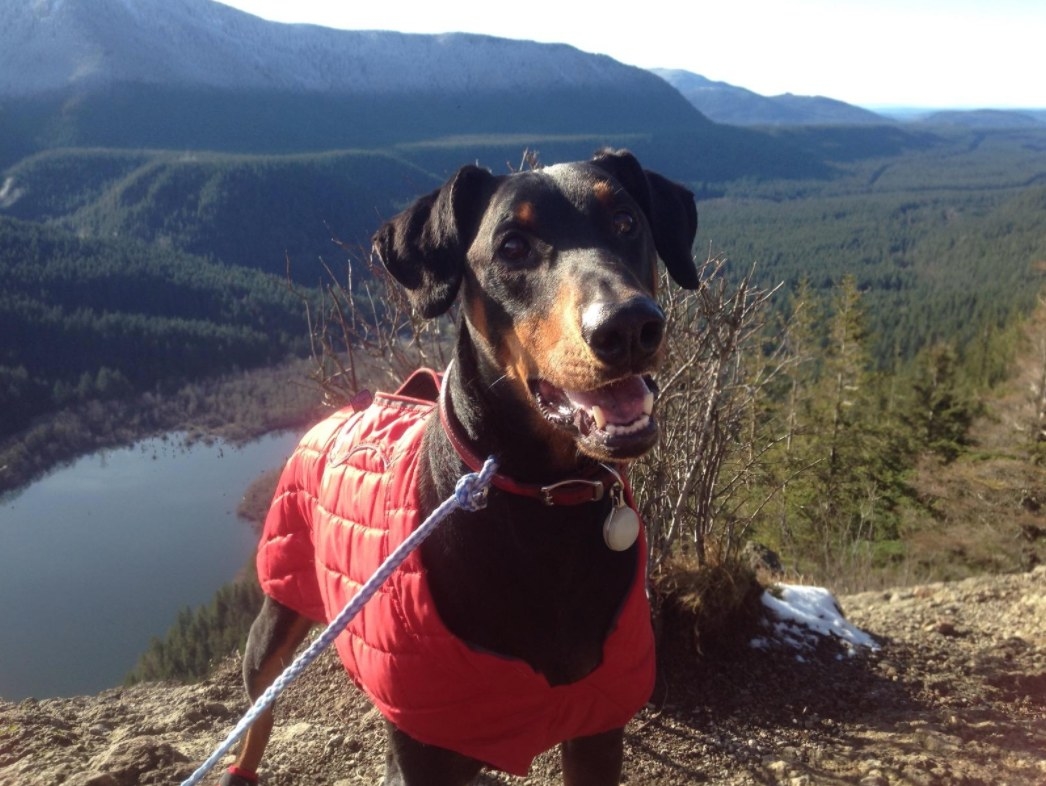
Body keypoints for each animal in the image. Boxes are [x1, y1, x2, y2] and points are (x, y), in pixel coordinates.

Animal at [216, 148, 698, 786]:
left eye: (625, 221)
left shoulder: (597, 726)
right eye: (512, 246)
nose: (629, 326)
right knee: (260, 704)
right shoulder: (425, 751)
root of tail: (333, 412)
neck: (546, 502)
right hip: (278, 605)